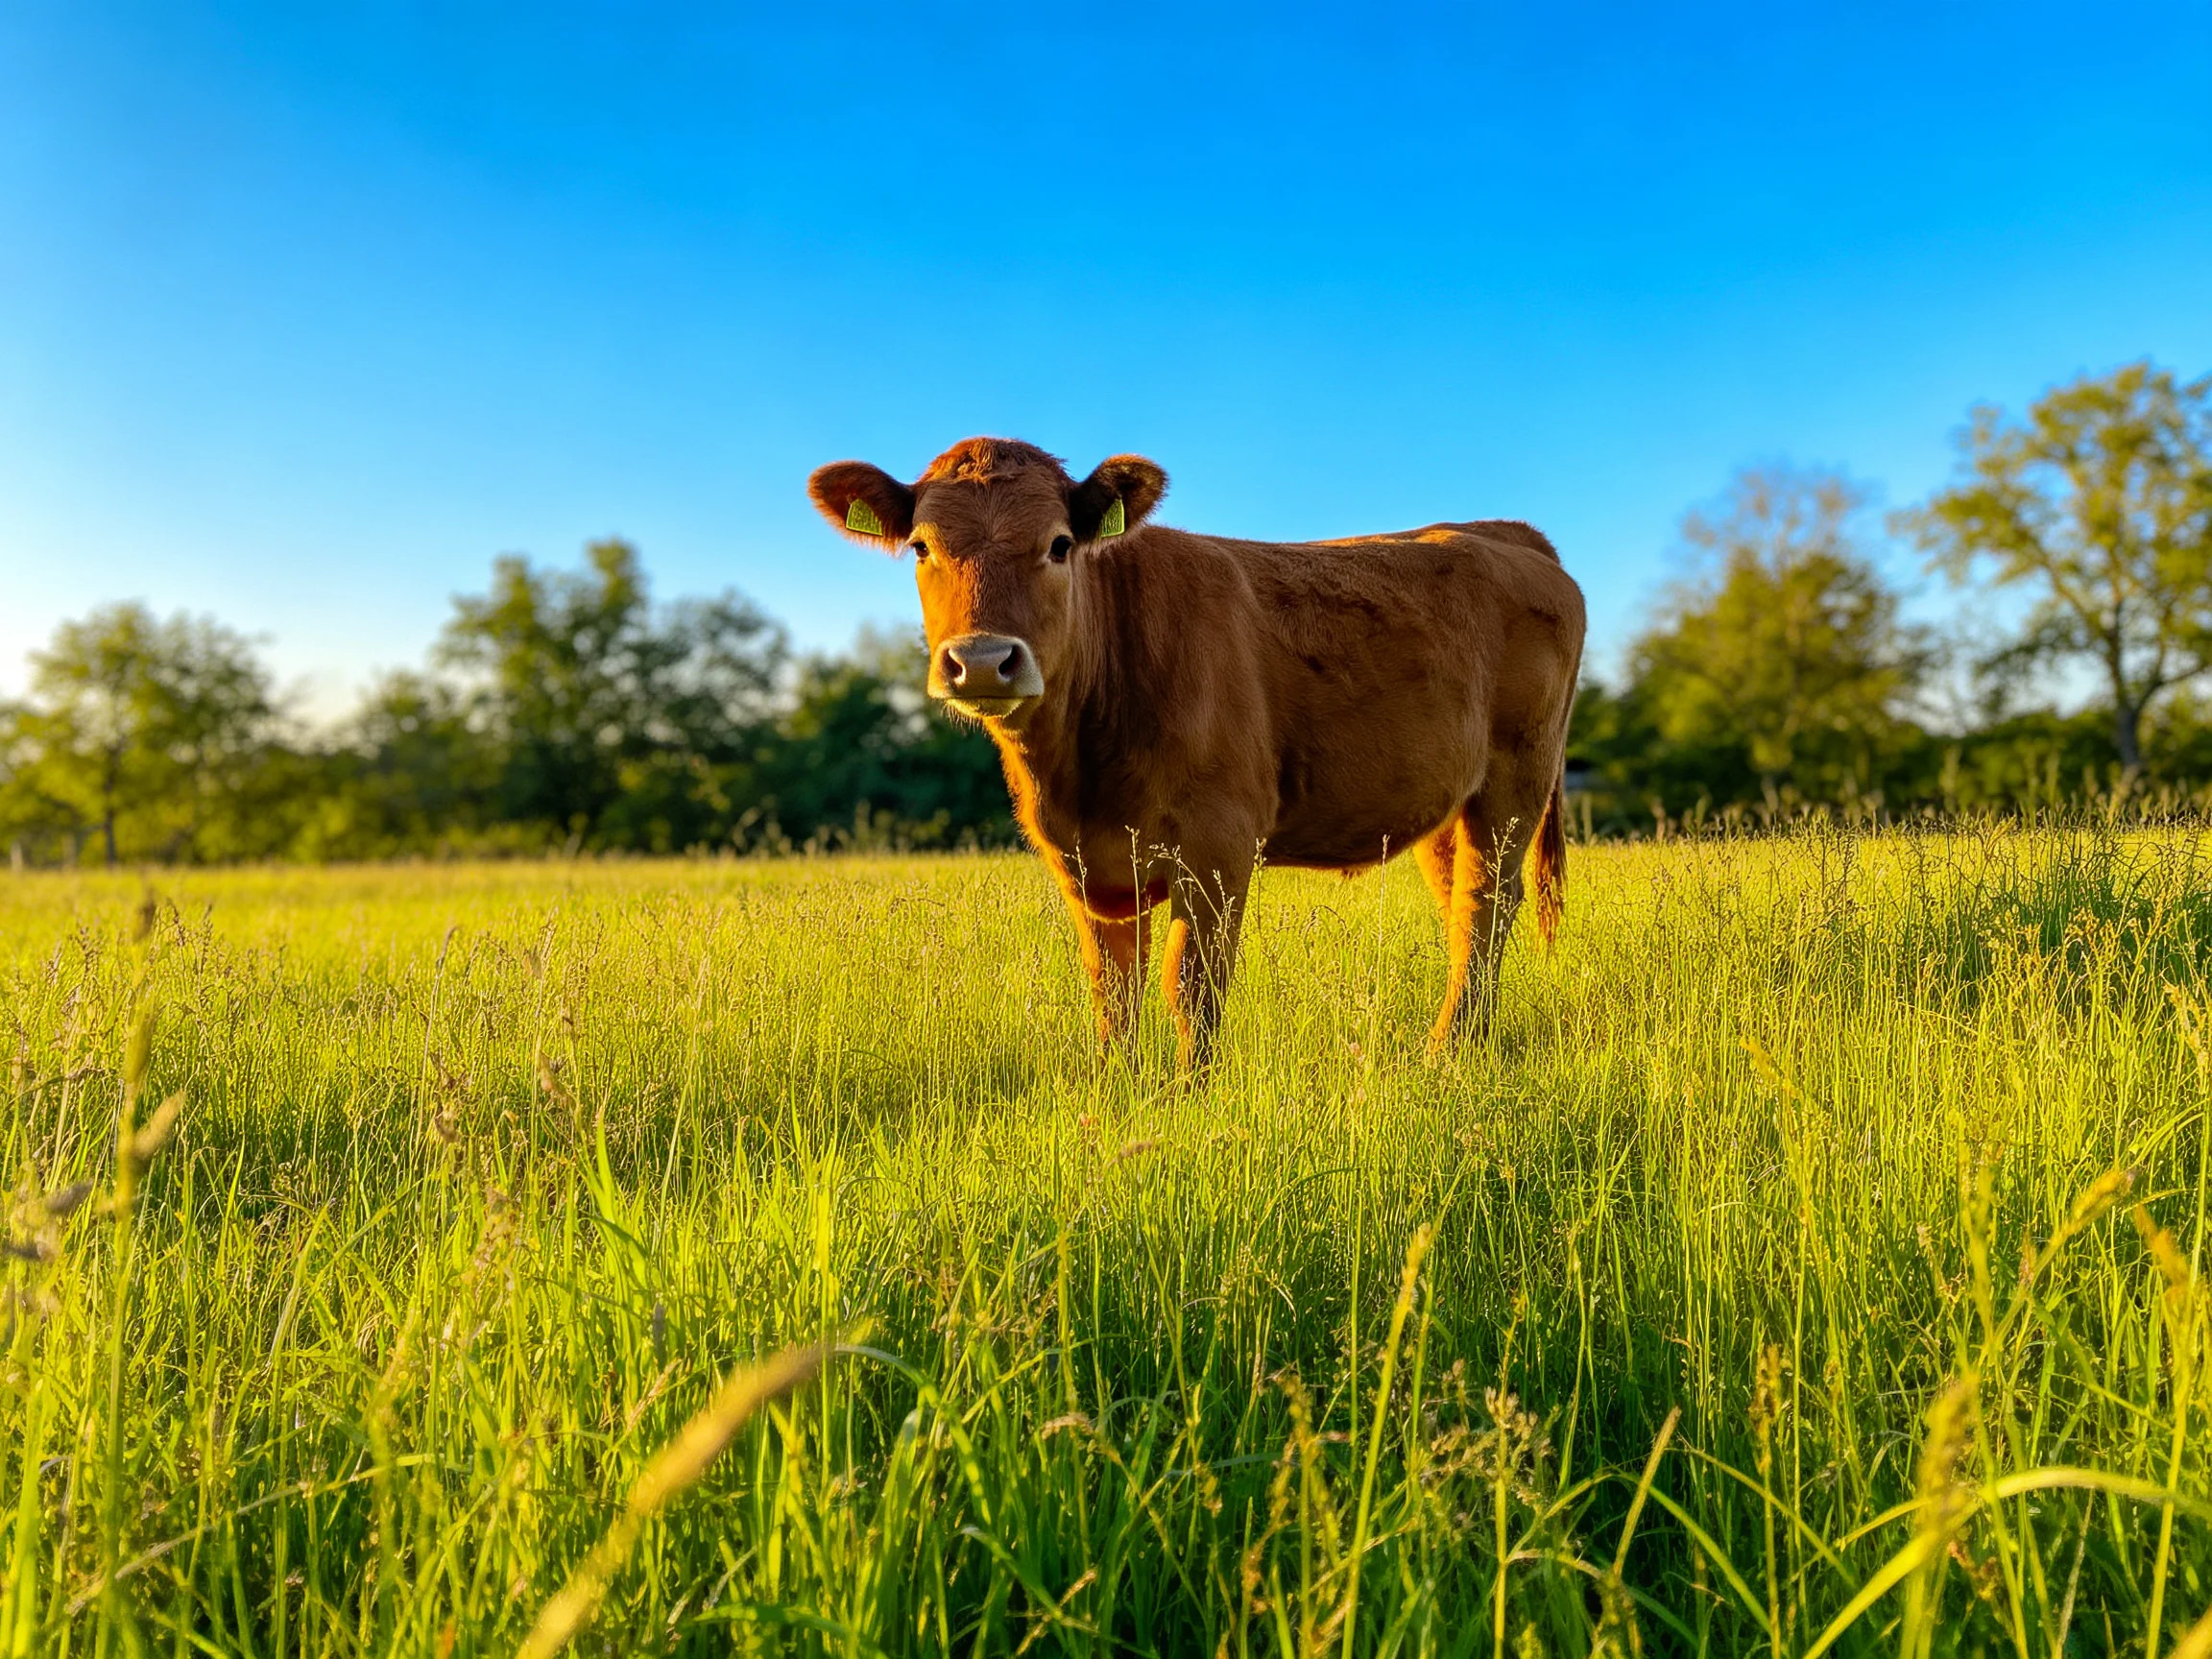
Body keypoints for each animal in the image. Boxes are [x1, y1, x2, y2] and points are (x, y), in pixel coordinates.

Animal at [808, 438, 1585, 1068]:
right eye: (921, 547)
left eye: (1059, 545)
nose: (982, 661)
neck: (1077, 775)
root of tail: (1503, 533)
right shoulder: (1086, 867)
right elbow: (1112, 995)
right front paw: (1114, 1095)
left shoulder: (1219, 845)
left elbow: (1191, 989)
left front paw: (1188, 1099)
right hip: (1446, 805)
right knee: (1459, 904)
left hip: (1516, 780)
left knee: (1487, 904)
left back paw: (1449, 1052)